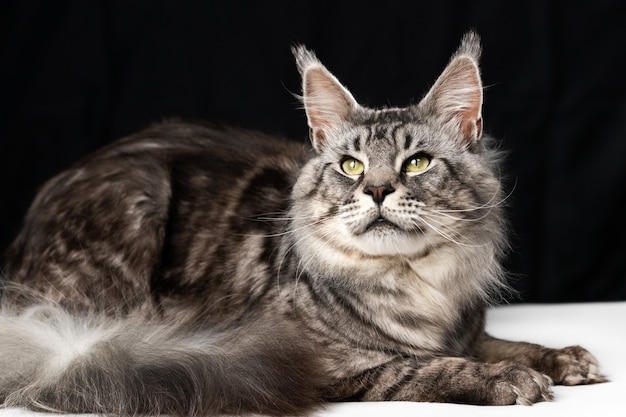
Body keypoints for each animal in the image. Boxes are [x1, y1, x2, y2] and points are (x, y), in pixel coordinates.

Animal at [0, 32, 604, 416]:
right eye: (351, 165)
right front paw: (508, 379)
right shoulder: (316, 356)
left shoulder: (469, 328)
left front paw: (562, 358)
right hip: (136, 208)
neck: (419, 284)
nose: (377, 189)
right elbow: (420, 366)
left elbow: (498, 342)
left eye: (417, 163)